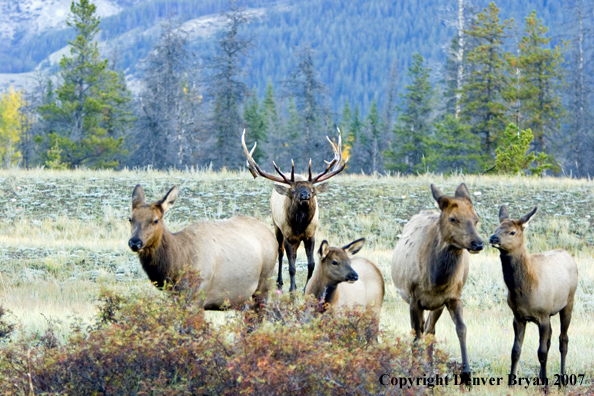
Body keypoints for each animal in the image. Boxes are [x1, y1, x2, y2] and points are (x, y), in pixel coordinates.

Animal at [128, 184, 276, 310]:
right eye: (130, 218)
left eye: (155, 220)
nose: (135, 242)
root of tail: (270, 233)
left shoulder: (197, 296)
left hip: (265, 281)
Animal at [239, 129, 344, 290]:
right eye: (293, 191)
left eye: (312, 190)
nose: (305, 195)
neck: (299, 226)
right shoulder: (287, 235)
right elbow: (292, 267)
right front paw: (292, 289)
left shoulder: (310, 234)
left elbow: (311, 264)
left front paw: (305, 288)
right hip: (277, 226)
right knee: (281, 253)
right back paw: (280, 282)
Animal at [390, 183, 484, 380]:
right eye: (453, 218)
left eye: (476, 218)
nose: (478, 243)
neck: (435, 280)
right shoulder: (414, 298)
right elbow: (415, 335)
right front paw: (414, 370)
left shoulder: (453, 297)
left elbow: (461, 328)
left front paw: (466, 374)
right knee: (421, 330)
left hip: (437, 306)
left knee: (430, 330)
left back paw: (431, 367)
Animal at [488, 206, 576, 386]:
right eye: (497, 227)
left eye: (512, 232)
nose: (492, 238)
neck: (524, 291)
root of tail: (568, 255)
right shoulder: (518, 317)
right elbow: (515, 351)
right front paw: (511, 384)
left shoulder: (542, 315)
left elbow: (541, 353)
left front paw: (545, 387)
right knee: (550, 340)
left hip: (568, 302)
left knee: (563, 340)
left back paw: (562, 381)